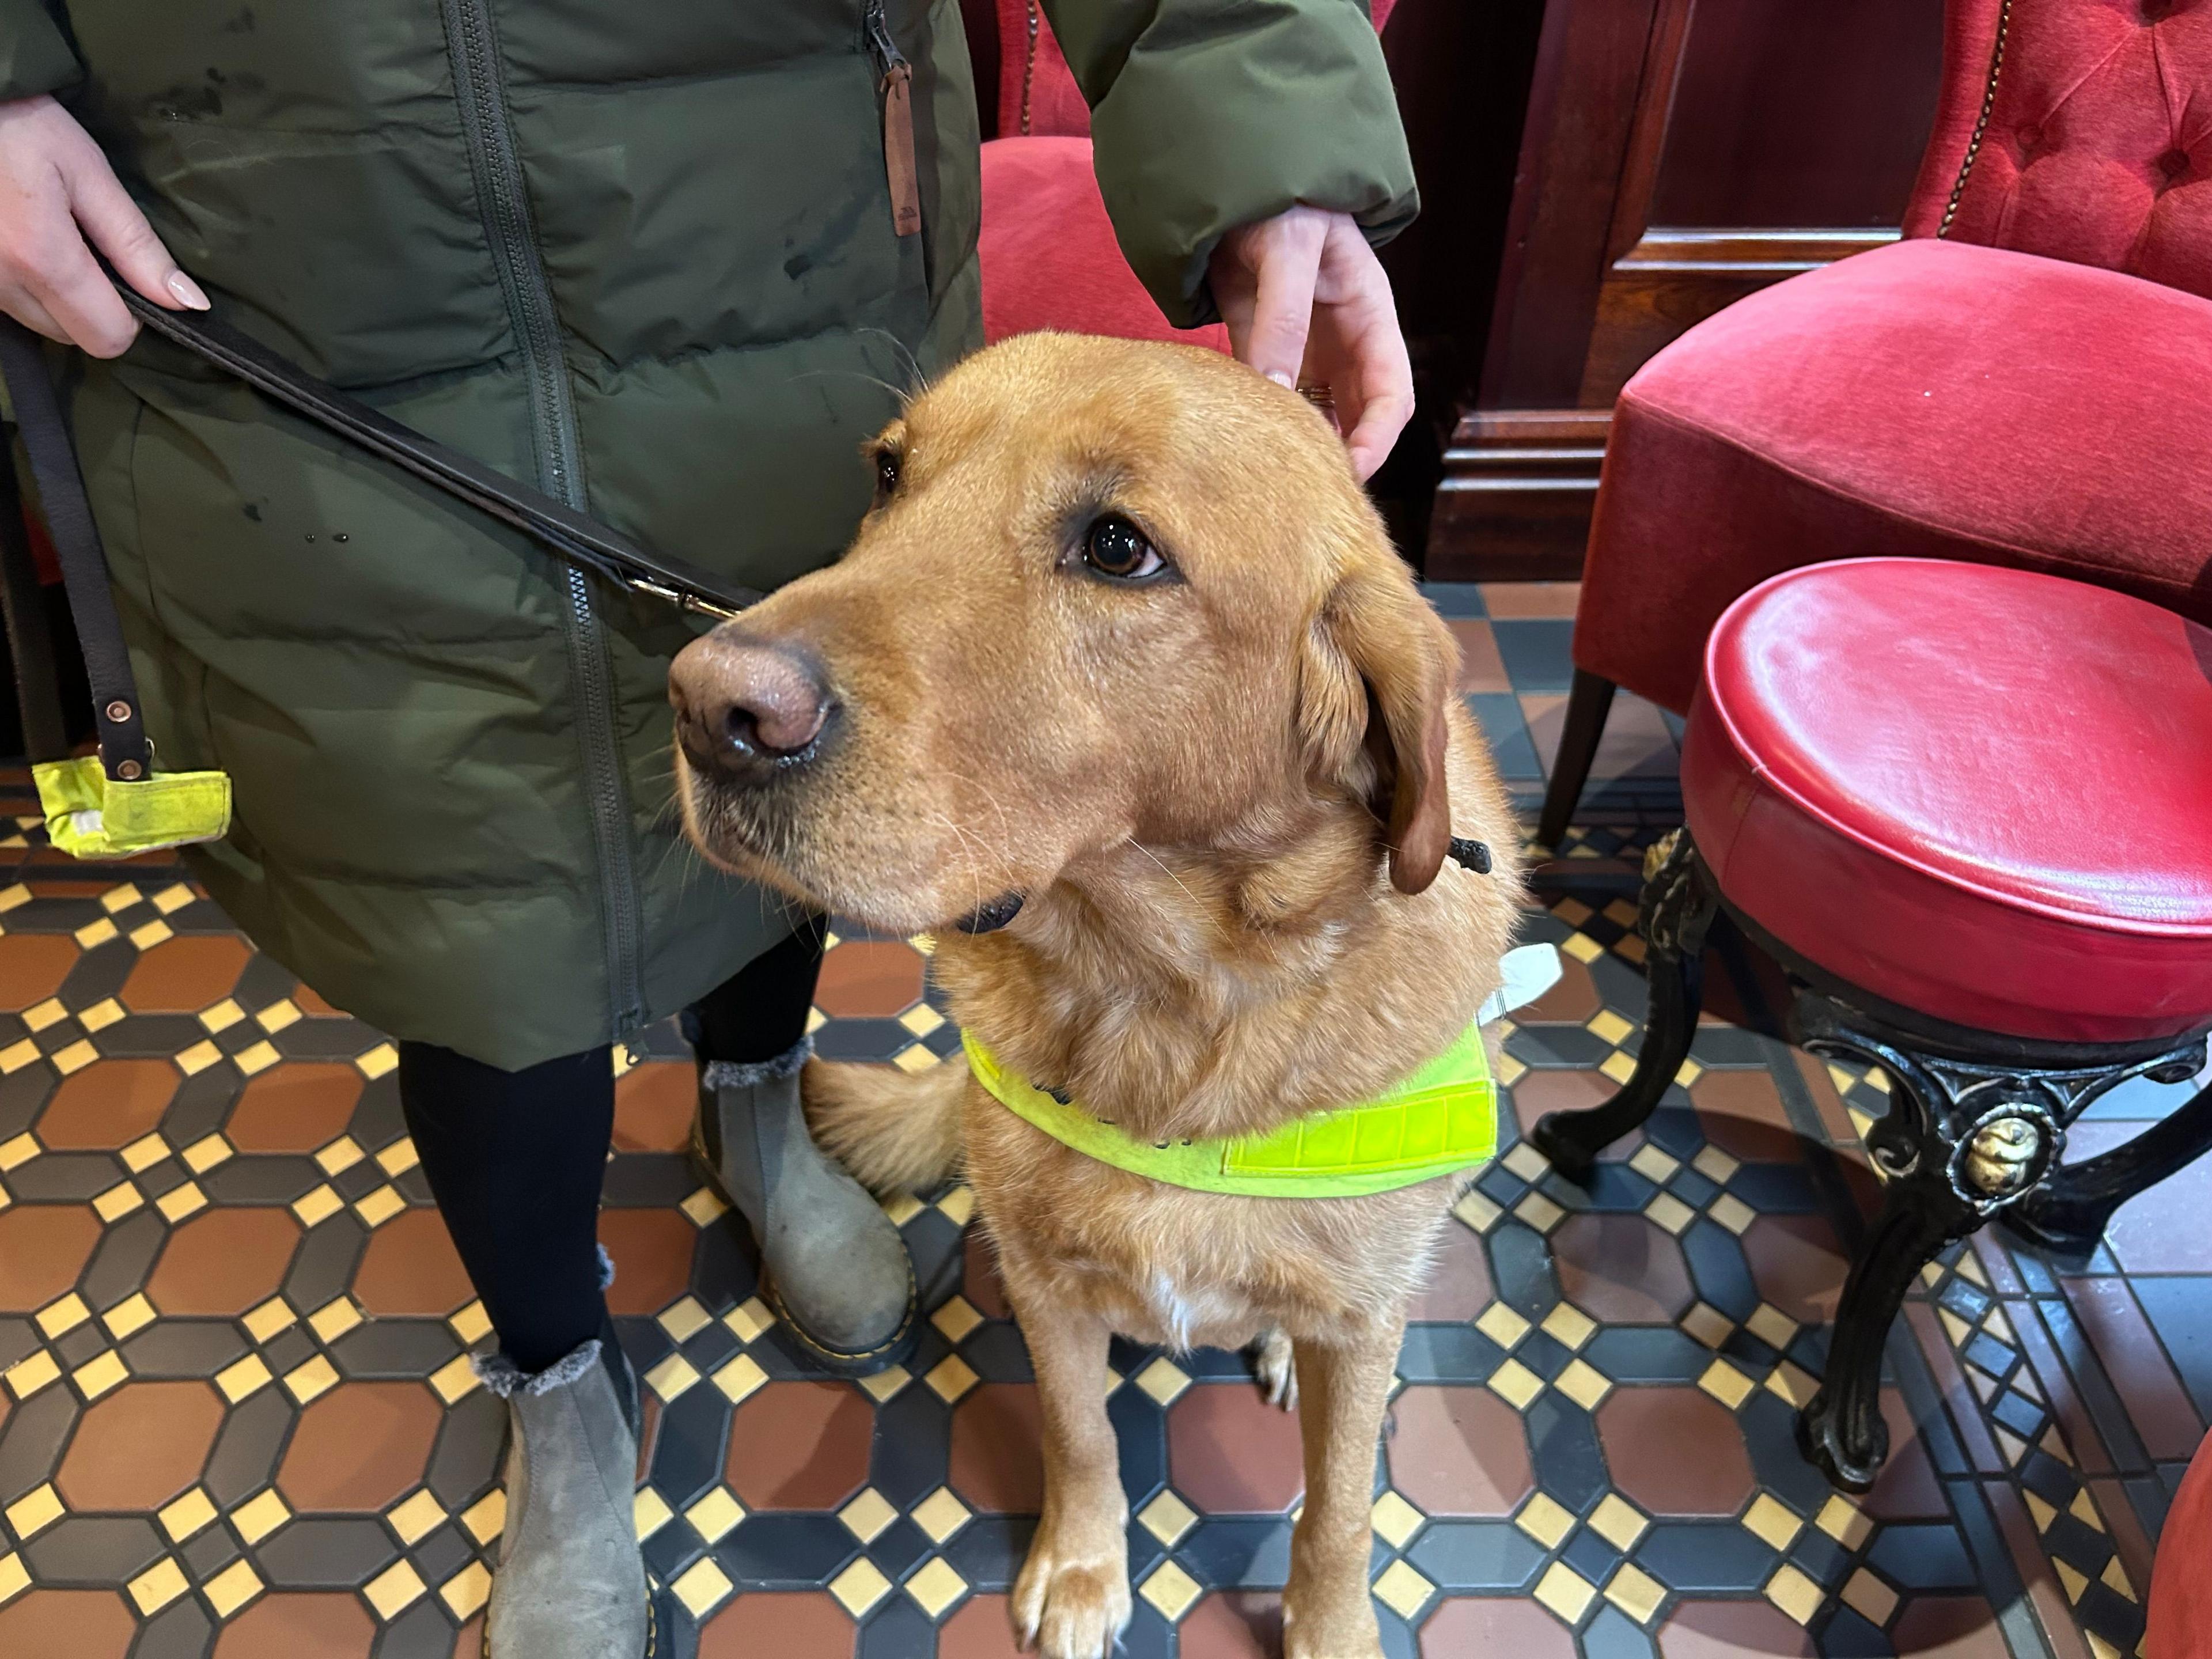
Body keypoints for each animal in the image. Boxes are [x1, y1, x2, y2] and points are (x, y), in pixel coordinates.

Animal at [659, 338, 1521, 1659]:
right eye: (890, 472)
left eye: (1119, 548)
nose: (712, 706)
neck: (1163, 1003)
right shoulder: (1048, 1289)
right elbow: (1079, 1437)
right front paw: (1079, 1570)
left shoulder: (1367, 1324)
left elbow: (1340, 1513)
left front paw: (1331, 1632)